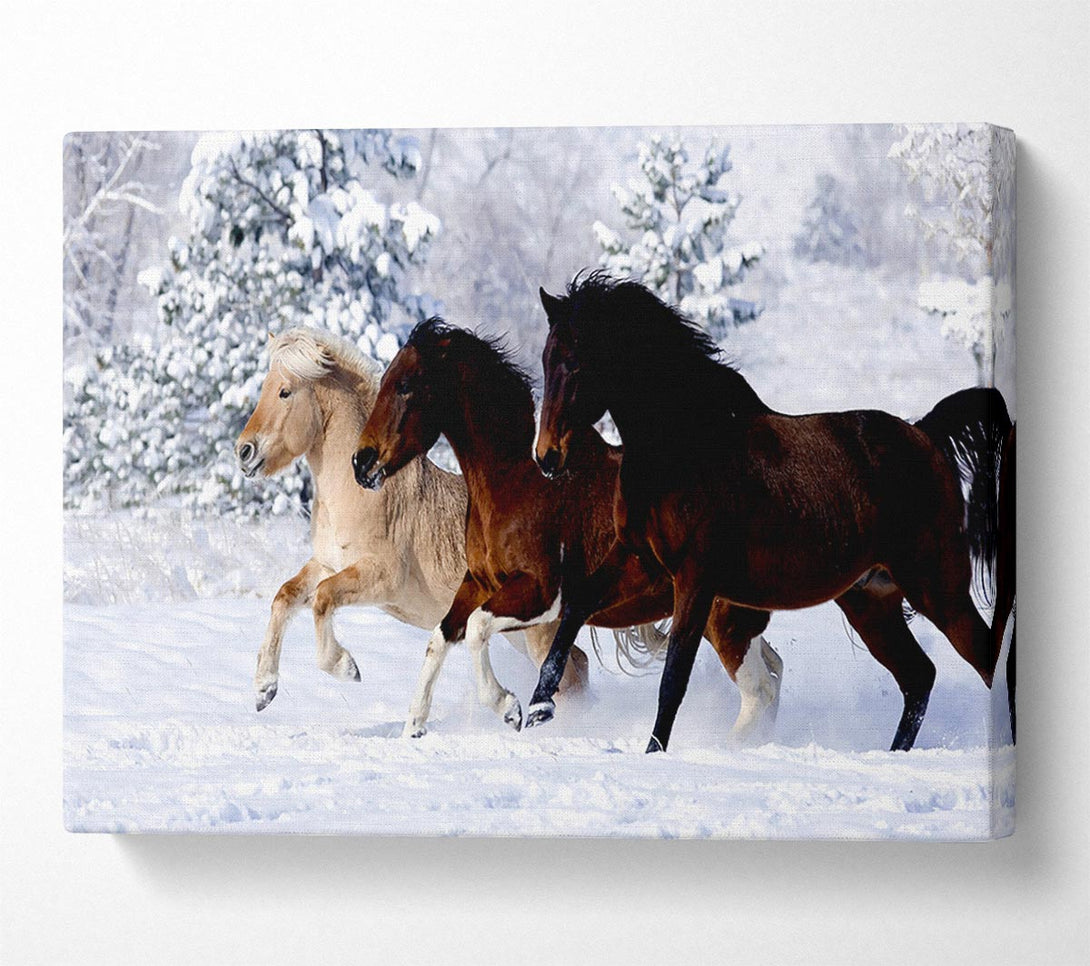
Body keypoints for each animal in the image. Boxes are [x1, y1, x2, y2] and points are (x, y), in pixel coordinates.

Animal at [234, 327, 588, 726]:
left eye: (285, 391)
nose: (244, 452)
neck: (361, 492)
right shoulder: (327, 564)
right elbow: (285, 596)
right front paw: (264, 689)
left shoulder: (382, 577)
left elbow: (323, 599)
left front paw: (346, 667)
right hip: (518, 631)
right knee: (578, 665)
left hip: (537, 631)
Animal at [352, 318, 785, 741]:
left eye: (406, 385)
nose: (361, 462)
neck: (516, 479)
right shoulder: (479, 581)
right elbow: (440, 637)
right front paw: (414, 726)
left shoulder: (542, 593)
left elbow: (476, 629)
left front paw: (509, 708)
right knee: (773, 673)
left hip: (724, 620)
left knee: (759, 691)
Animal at [528, 272, 1010, 754]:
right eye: (547, 360)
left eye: (575, 363)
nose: (547, 457)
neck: (683, 444)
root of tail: (925, 435)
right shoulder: (638, 558)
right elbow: (574, 608)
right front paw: (538, 708)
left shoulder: (695, 580)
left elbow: (673, 680)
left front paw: (652, 753)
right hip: (872, 601)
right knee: (918, 677)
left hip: (937, 588)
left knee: (982, 662)